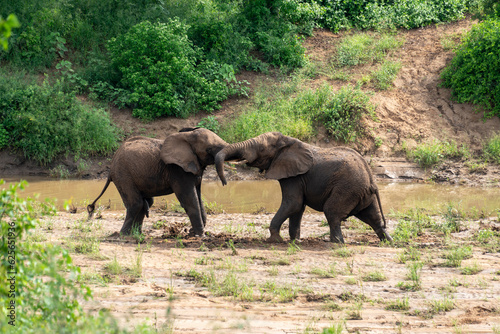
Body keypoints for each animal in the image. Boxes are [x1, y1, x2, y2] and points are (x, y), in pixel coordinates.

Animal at [88, 127, 227, 235]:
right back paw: (122, 235)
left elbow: (198, 197)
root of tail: (111, 166)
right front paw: (199, 235)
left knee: (146, 202)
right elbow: (189, 199)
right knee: (136, 203)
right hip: (123, 175)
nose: (224, 183)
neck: (187, 136)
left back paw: (135, 234)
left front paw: (196, 233)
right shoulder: (177, 170)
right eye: (209, 149)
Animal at [214, 130, 390, 243]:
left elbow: (293, 203)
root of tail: (371, 179)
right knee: (372, 216)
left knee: (332, 211)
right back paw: (388, 241)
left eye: (262, 149)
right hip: (361, 192)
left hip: (348, 188)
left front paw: (274, 240)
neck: (288, 141)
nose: (224, 183)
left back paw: (336, 242)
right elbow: (298, 208)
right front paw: (295, 241)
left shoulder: (294, 177)